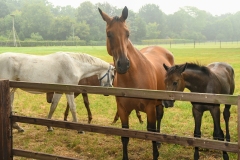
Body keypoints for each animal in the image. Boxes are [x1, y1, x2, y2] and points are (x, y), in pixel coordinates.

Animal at [98, 6, 174, 160]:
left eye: (127, 33)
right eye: (109, 34)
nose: (123, 64)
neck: (133, 79)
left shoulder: (150, 109)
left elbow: (151, 133)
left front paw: (156, 153)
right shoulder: (122, 110)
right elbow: (125, 136)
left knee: (159, 119)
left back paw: (159, 143)